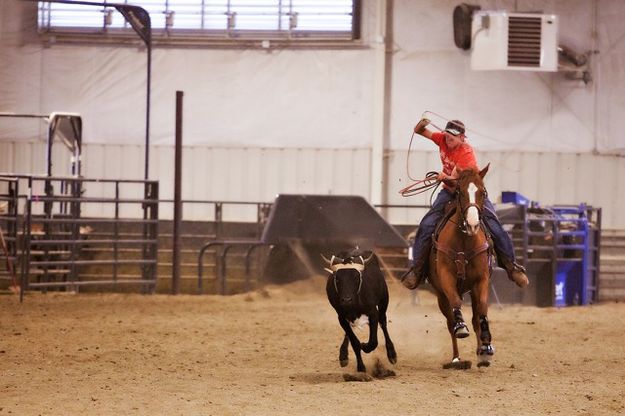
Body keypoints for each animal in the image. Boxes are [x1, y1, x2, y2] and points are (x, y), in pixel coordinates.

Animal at [428, 164, 492, 368]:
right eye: (459, 192)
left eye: (483, 192)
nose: (472, 224)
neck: (465, 241)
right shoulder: (446, 277)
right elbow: (456, 303)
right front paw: (461, 328)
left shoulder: (481, 280)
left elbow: (482, 310)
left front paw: (486, 347)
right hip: (441, 296)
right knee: (450, 322)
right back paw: (456, 358)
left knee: (475, 318)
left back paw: (481, 353)